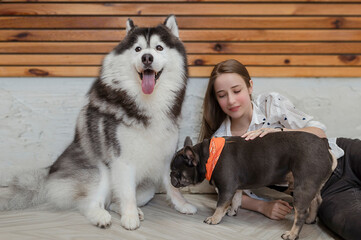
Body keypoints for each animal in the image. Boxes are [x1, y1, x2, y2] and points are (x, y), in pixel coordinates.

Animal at [0, 15, 195, 231]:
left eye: (159, 48)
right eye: (138, 49)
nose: (147, 58)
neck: (146, 102)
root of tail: (51, 170)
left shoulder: (165, 154)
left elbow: (171, 186)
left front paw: (182, 204)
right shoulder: (122, 160)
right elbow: (127, 193)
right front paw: (129, 217)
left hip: (147, 188)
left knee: (114, 201)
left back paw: (128, 209)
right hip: (100, 172)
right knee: (89, 203)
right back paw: (101, 216)